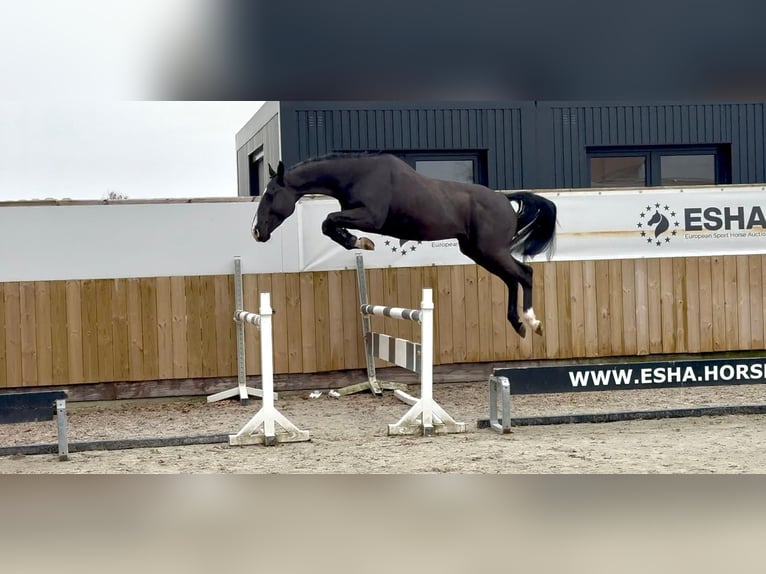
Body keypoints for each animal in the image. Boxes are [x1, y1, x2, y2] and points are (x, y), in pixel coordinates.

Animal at [251, 153, 557, 338]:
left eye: (271, 194)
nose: (256, 232)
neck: (357, 174)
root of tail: (505, 199)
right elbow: (329, 225)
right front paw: (358, 242)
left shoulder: (371, 217)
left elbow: (328, 221)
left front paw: (361, 241)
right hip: (479, 252)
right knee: (512, 279)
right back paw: (518, 325)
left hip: (490, 251)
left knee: (525, 274)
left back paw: (533, 322)